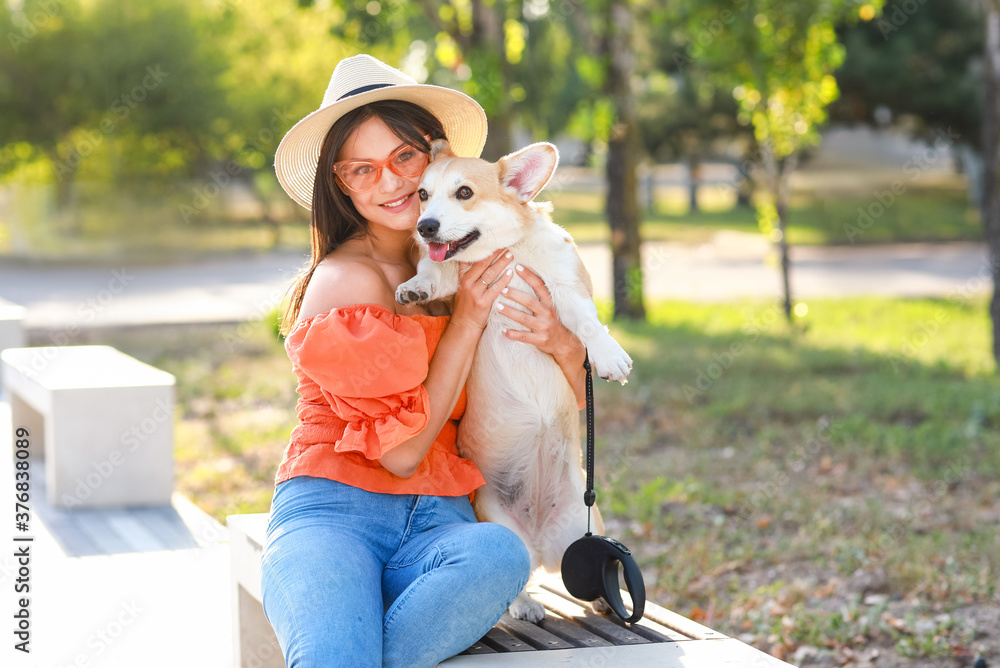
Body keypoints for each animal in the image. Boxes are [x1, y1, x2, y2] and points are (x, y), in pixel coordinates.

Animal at [394, 140, 628, 620]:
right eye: (422, 194)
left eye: (464, 192)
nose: (425, 228)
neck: (508, 255)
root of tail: (540, 545)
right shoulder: (449, 278)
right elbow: (433, 272)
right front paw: (415, 286)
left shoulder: (565, 288)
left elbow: (587, 323)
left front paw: (609, 355)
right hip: (499, 524)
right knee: (517, 577)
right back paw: (524, 605)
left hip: (583, 525)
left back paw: (602, 598)